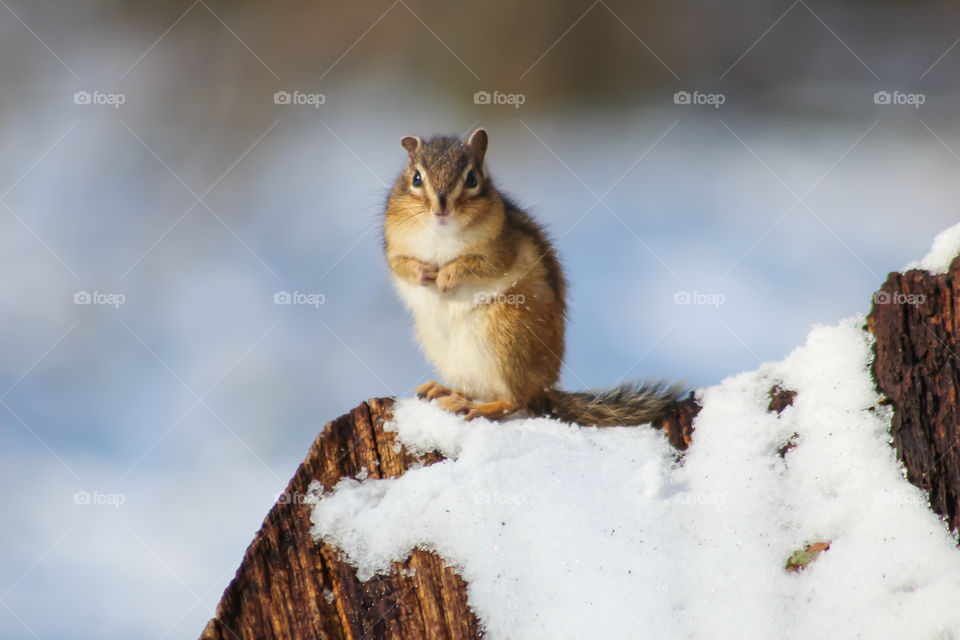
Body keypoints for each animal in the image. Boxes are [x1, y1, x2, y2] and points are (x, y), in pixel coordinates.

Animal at [383, 128, 683, 426]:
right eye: (416, 178)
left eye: (471, 179)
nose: (441, 208)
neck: (441, 232)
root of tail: (544, 389)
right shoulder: (394, 248)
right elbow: (400, 265)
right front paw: (423, 272)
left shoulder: (502, 248)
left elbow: (483, 265)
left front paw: (446, 276)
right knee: (479, 389)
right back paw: (444, 390)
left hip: (506, 338)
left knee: (514, 401)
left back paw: (475, 408)